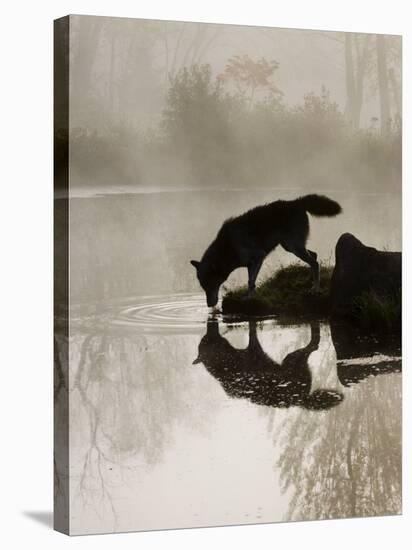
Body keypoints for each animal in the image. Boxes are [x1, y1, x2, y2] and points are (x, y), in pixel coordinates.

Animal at [190, 195, 342, 308]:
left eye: (209, 285)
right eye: (203, 287)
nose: (209, 305)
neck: (227, 248)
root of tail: (295, 202)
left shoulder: (259, 256)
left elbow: (251, 281)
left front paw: (249, 298)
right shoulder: (250, 264)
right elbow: (251, 282)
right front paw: (251, 296)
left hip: (293, 247)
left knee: (315, 262)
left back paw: (315, 288)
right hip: (290, 246)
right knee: (314, 256)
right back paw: (311, 283)